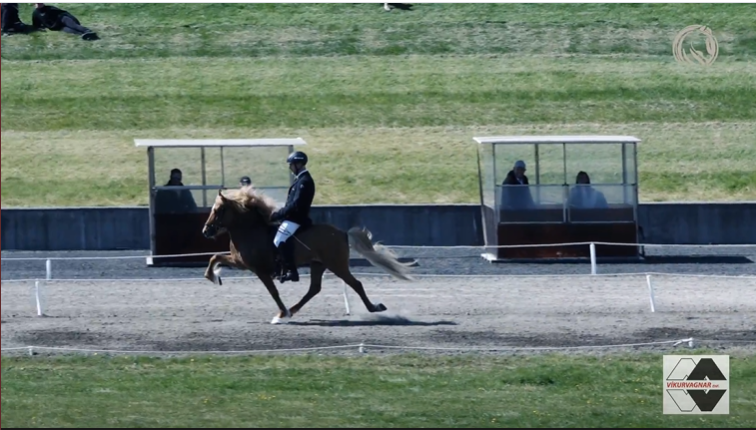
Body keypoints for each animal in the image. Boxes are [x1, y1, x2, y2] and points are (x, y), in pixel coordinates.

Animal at [201, 186, 416, 324]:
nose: (205, 231)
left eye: (218, 210)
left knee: (356, 284)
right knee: (314, 289)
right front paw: (214, 277)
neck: (251, 230)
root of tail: (342, 233)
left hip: (337, 265)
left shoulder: (259, 269)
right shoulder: (241, 262)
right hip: (318, 264)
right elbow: (215, 257)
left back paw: (375, 308)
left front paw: (281, 313)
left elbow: (273, 292)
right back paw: (294, 310)